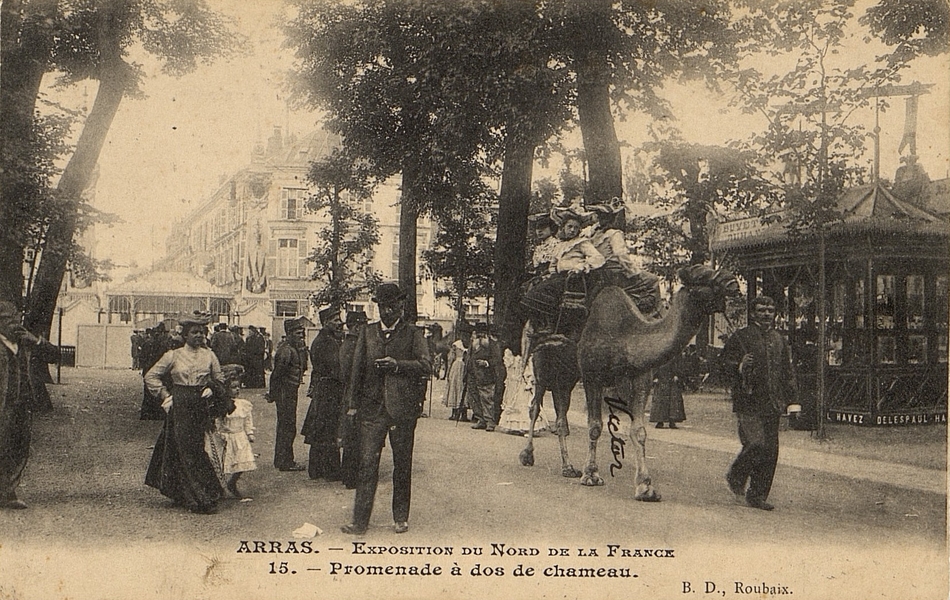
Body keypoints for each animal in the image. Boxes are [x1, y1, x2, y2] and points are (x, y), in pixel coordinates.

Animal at [516, 264, 740, 500]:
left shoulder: (640, 377)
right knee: (535, 405)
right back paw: (527, 455)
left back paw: (568, 467)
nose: (733, 283)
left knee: (561, 415)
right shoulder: (592, 376)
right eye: (705, 277)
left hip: (566, 375)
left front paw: (645, 487)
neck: (626, 336)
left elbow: (639, 431)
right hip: (542, 364)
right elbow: (594, 426)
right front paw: (591, 475)